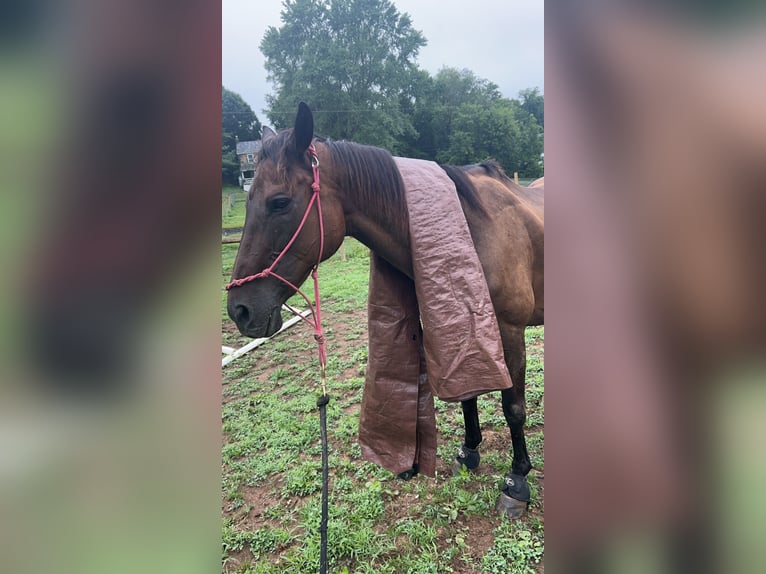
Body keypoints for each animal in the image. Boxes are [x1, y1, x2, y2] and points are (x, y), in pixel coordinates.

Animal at [228, 102, 544, 516]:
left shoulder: (508, 330)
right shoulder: (457, 325)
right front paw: (469, 451)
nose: (239, 310)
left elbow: (514, 407)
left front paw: (517, 480)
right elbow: (468, 394)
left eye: (279, 202)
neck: (469, 230)